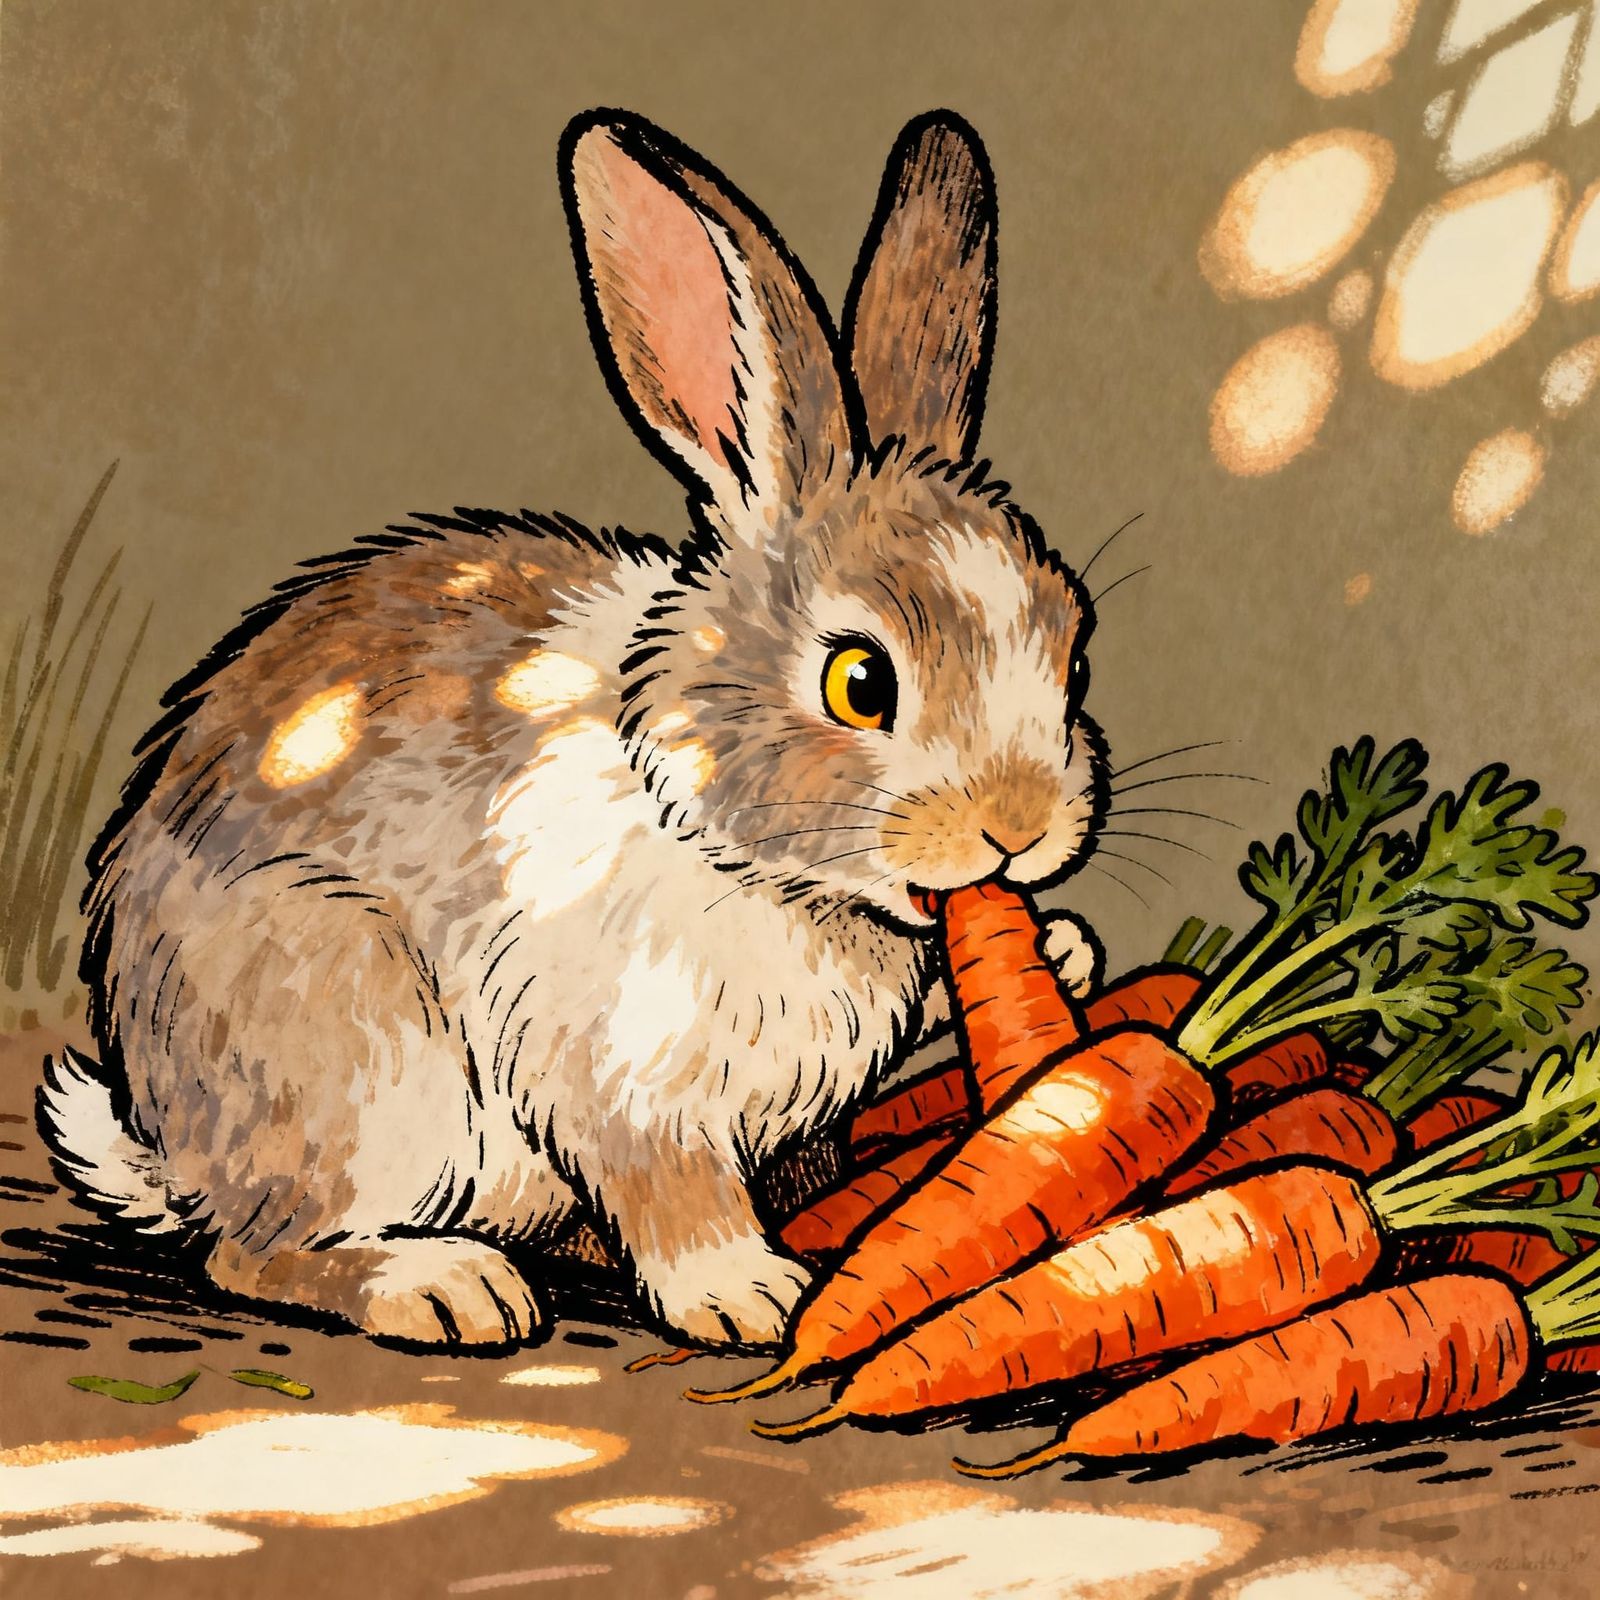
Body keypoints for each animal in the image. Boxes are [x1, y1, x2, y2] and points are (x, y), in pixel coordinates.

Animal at [38, 108, 1109, 1349]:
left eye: (1073, 648)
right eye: (858, 681)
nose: (1018, 830)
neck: (733, 845)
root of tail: (168, 1144)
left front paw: (1067, 952)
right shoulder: (618, 1074)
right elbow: (670, 1190)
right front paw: (749, 1294)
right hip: (354, 1043)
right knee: (251, 1251)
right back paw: (445, 1289)